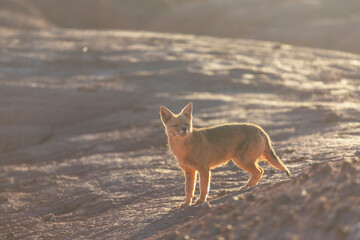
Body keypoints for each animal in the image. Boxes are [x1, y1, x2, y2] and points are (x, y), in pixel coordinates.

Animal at [160, 101, 290, 206]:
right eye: (176, 125)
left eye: (186, 124)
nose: (184, 130)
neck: (183, 149)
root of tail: (259, 129)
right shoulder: (189, 171)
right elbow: (188, 191)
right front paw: (187, 204)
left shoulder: (204, 169)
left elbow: (203, 188)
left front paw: (201, 200)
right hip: (243, 161)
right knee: (260, 171)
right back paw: (248, 186)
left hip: (241, 161)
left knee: (259, 171)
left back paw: (246, 187)